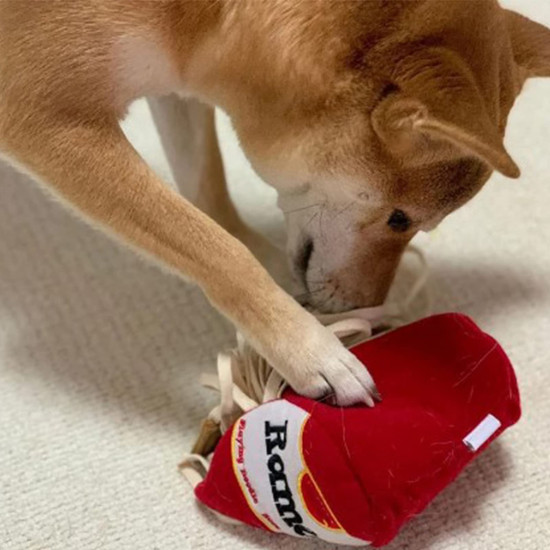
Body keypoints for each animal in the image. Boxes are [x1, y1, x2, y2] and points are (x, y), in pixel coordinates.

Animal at [0, 0, 548, 406]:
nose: (372, 311)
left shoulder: (170, 78)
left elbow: (210, 202)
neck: (198, 15)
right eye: (400, 219)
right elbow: (218, 251)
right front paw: (313, 350)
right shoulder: (49, 121)